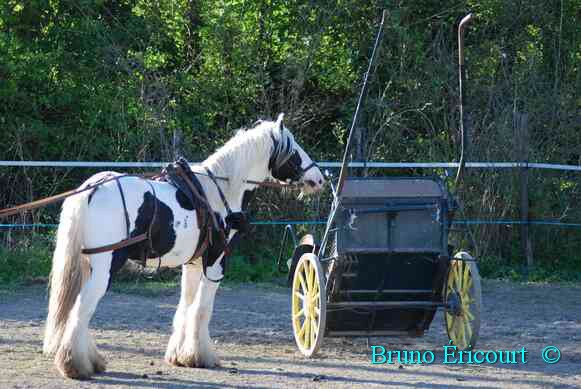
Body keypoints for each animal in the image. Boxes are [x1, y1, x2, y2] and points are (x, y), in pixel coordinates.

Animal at [44, 113, 326, 378]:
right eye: (294, 150)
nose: (320, 178)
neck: (220, 190)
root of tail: (90, 190)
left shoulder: (192, 263)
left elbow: (186, 306)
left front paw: (180, 356)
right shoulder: (216, 262)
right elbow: (202, 309)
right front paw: (201, 356)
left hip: (88, 265)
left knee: (76, 307)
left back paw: (91, 361)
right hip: (106, 266)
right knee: (81, 308)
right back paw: (74, 365)